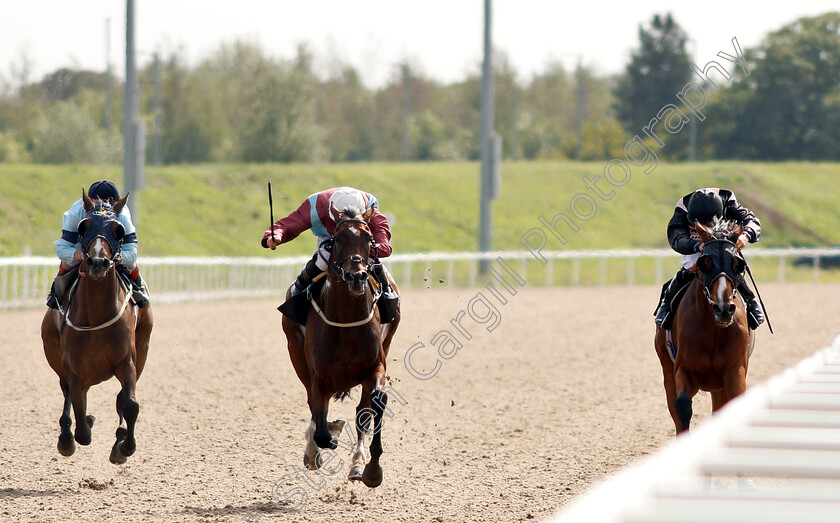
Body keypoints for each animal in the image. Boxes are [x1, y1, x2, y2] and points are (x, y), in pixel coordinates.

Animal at [41, 191, 153, 462]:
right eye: (84, 226)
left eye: (118, 229)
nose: (97, 262)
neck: (97, 313)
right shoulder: (74, 369)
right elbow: (81, 421)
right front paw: (81, 429)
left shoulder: (127, 361)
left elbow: (130, 404)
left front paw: (124, 447)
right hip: (54, 353)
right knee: (67, 395)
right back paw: (66, 437)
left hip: (143, 348)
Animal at [282, 204, 400, 488]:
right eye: (336, 239)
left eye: (369, 239)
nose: (356, 276)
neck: (346, 321)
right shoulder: (319, 377)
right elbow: (321, 425)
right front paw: (326, 438)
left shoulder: (375, 366)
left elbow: (374, 405)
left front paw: (371, 469)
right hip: (296, 353)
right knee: (313, 407)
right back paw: (314, 450)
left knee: (362, 411)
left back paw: (357, 463)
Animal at [652, 219, 752, 436]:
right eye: (705, 263)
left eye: (737, 264)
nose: (723, 307)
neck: (713, 329)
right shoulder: (684, 370)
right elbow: (682, 407)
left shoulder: (735, 371)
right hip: (666, 366)